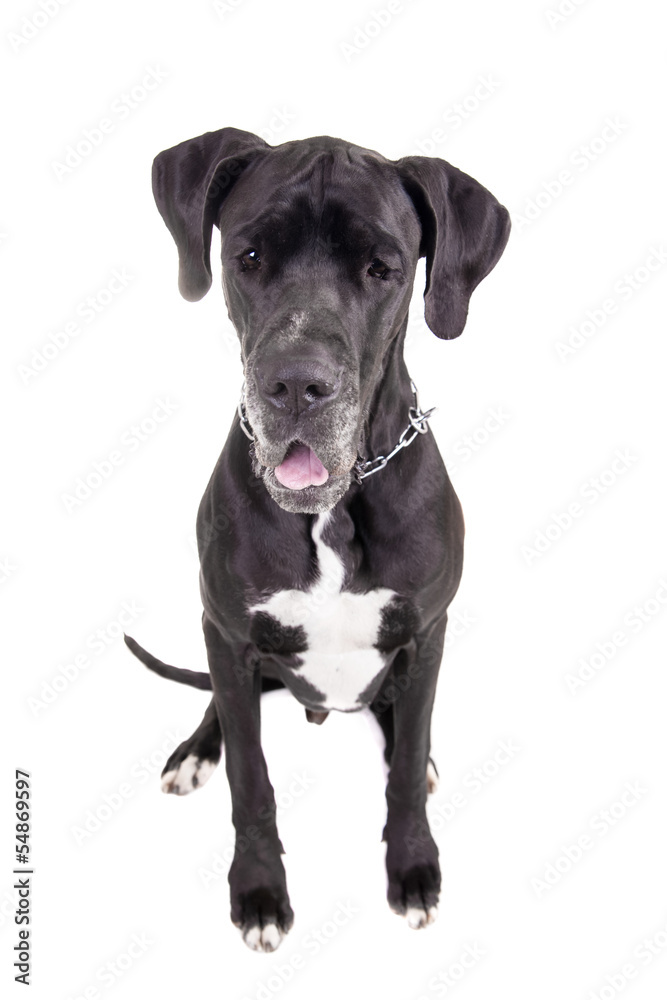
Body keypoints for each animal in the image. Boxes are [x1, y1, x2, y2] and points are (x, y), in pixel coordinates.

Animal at [126, 127, 512, 952]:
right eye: (247, 256)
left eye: (382, 268)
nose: (296, 385)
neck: (332, 513)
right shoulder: (228, 631)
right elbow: (250, 777)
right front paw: (258, 892)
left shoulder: (427, 631)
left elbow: (403, 771)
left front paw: (412, 866)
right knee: (222, 711)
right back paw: (194, 751)